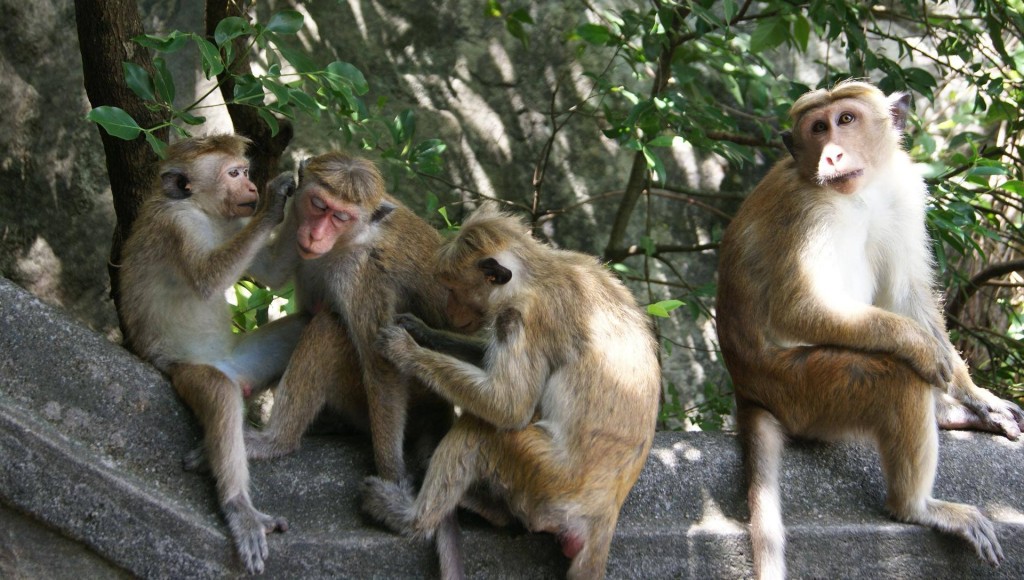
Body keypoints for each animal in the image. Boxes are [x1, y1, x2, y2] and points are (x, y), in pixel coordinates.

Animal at [118, 134, 305, 573]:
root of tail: (232, 370)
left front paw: (294, 182)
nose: (252, 186)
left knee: (300, 329)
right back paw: (239, 507)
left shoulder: (235, 222)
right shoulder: (176, 225)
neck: (202, 210)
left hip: (244, 361)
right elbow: (208, 279)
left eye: (245, 171)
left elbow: (272, 273)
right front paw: (275, 200)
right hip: (187, 370)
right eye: (234, 173)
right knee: (219, 395)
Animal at [362, 204, 663, 580]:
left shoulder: (520, 315)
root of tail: (604, 511)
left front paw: (405, 350)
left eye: (453, 289)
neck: (536, 272)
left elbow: (509, 407)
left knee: (482, 430)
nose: (449, 311)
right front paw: (422, 331)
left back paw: (413, 519)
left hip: (547, 477)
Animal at [712, 78, 1024, 580]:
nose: (832, 154)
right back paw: (917, 507)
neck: (860, 193)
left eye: (845, 120)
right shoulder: (808, 211)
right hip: (803, 389)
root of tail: (749, 390)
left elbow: (909, 294)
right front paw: (921, 348)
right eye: (817, 128)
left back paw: (953, 413)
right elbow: (797, 309)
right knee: (895, 381)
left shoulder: (902, 191)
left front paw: (978, 397)